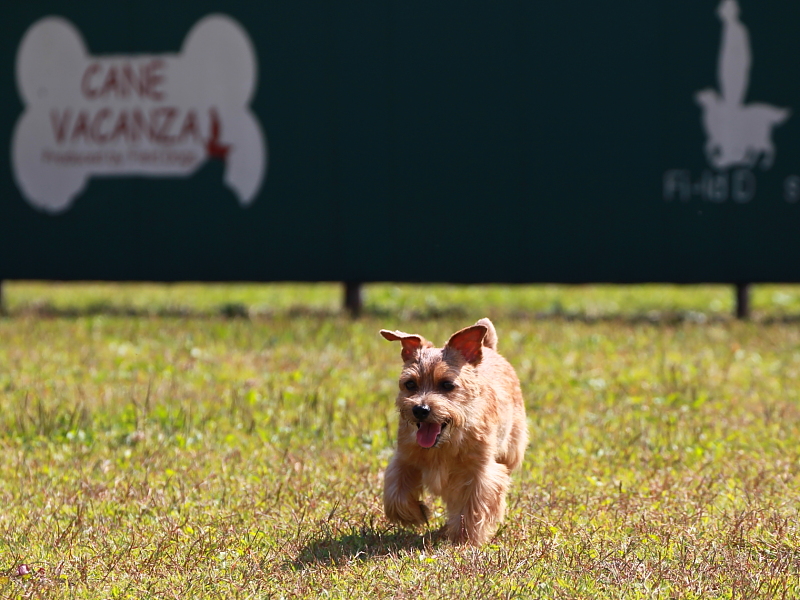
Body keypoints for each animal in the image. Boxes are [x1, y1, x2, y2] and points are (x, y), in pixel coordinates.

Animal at [380, 318, 528, 544]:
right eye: (410, 384)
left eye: (447, 385)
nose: (420, 409)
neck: (443, 446)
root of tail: (488, 348)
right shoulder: (404, 459)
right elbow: (396, 494)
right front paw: (415, 514)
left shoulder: (479, 473)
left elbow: (472, 507)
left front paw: (464, 540)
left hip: (511, 449)